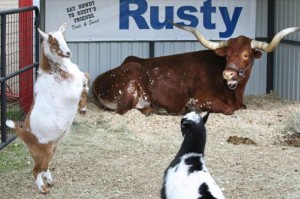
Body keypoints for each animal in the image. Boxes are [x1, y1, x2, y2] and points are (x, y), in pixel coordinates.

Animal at [5, 22, 88, 194]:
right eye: (53, 42)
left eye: (64, 37)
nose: (68, 53)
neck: (56, 71)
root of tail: (24, 133)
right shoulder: (72, 92)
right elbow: (85, 88)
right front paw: (83, 108)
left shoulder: (79, 80)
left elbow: (86, 78)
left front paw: (83, 109)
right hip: (43, 151)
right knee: (36, 170)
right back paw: (43, 189)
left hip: (51, 147)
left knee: (44, 167)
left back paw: (49, 181)